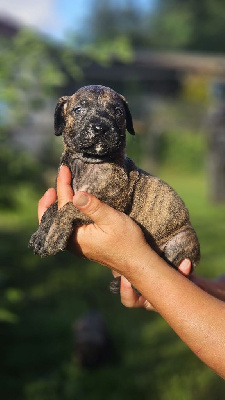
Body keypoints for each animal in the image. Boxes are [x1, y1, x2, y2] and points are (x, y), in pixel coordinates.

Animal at [29, 84, 200, 292]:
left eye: (118, 111)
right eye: (78, 109)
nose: (100, 127)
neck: (87, 163)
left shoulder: (112, 201)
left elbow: (69, 207)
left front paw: (55, 235)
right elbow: (53, 208)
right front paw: (41, 234)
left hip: (181, 240)